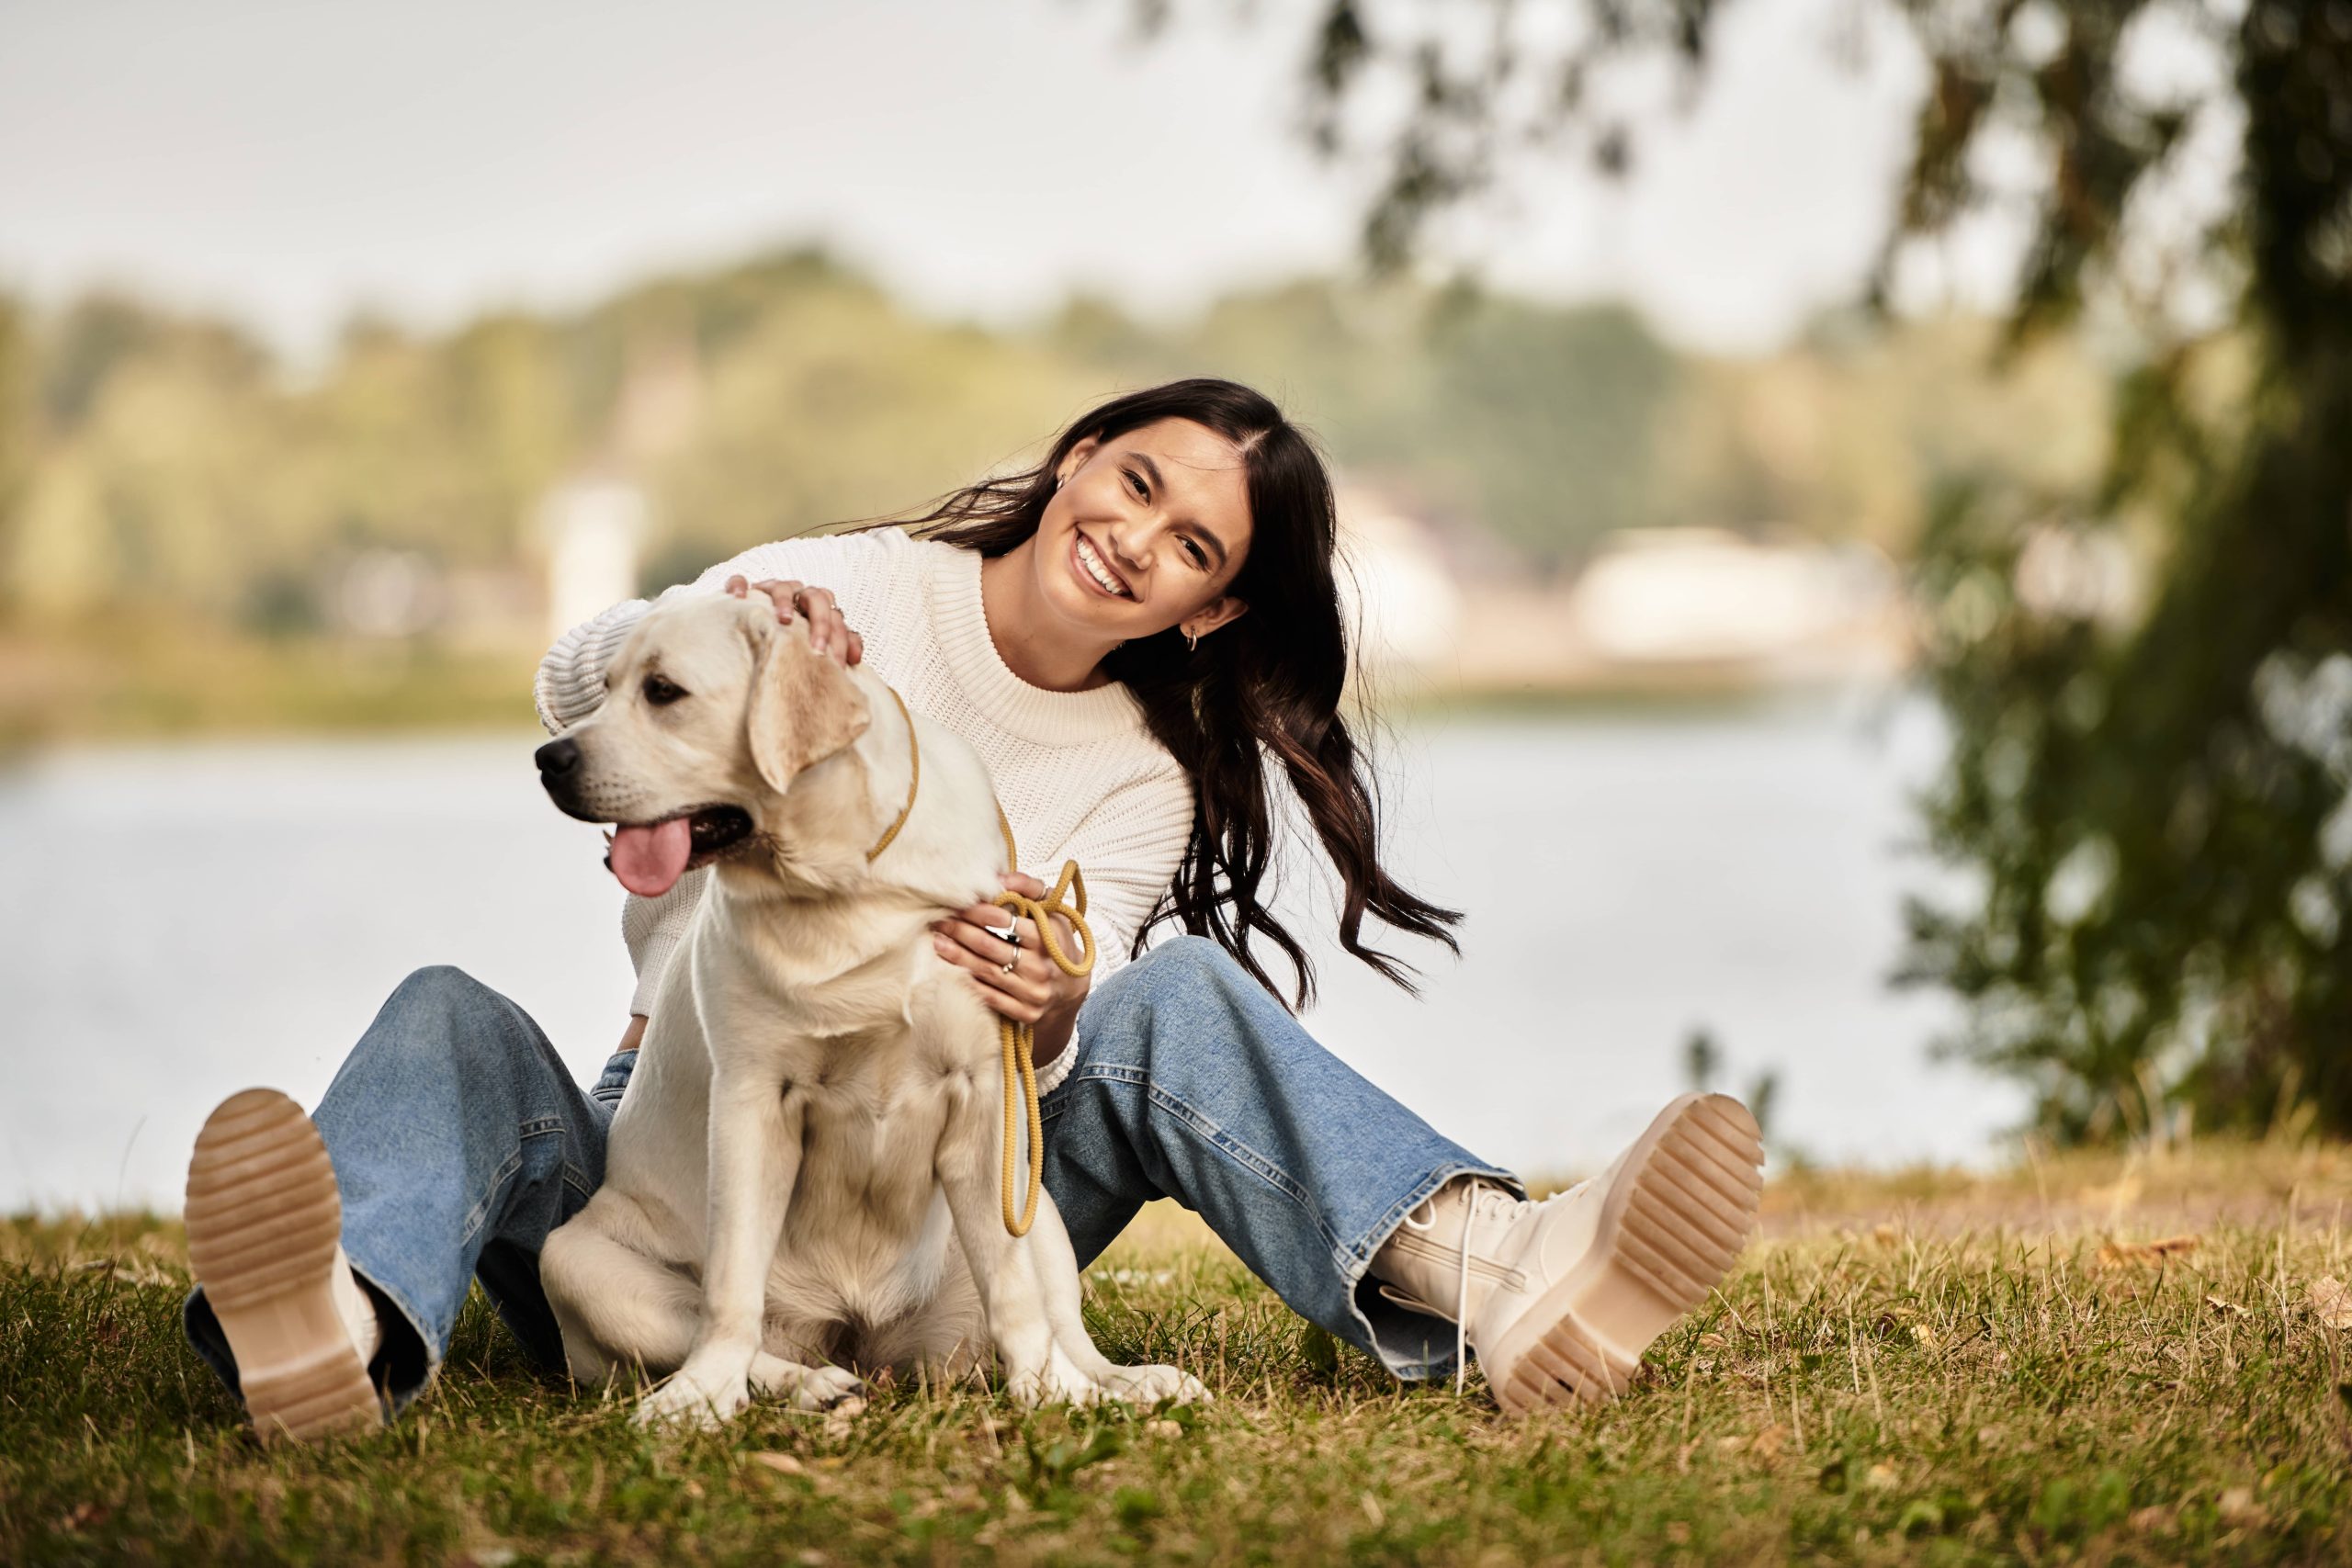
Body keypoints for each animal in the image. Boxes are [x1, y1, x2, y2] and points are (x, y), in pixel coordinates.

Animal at [531, 594, 1194, 1429]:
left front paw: (1051, 1393)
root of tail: (855, 1336)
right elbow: (729, 1290)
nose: (548, 759)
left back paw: (1118, 1382)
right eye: (608, 686)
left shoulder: (985, 1098)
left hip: (1034, 1203)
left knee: (1060, 1318)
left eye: (663, 692)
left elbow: (1015, 1293)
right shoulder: (752, 1099)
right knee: (720, 1328)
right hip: (573, 1258)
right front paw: (702, 1397)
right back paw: (808, 1383)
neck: (848, 884)